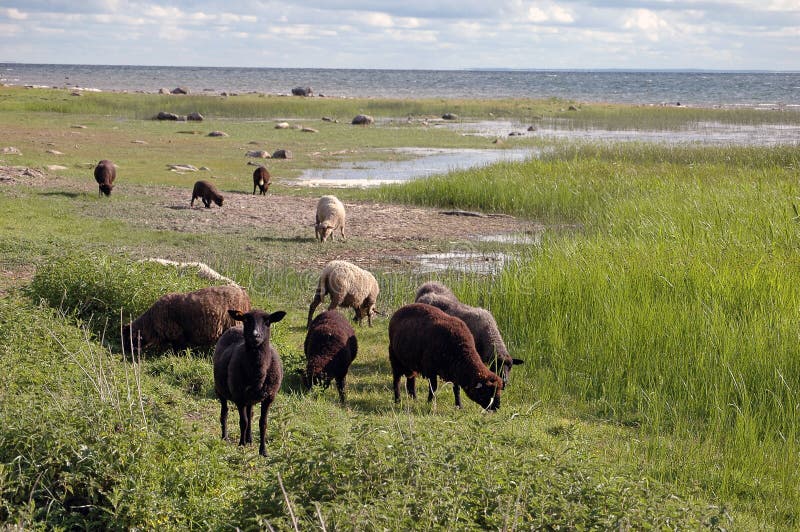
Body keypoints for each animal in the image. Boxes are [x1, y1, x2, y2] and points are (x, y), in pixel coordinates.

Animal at [122, 285, 251, 354]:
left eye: (128, 338)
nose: (126, 351)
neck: (151, 322)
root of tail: (244, 294)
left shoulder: (177, 334)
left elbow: (178, 349)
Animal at [213, 308, 286, 456]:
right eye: (246, 320)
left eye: (267, 321)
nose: (255, 335)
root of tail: (234, 327)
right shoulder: (239, 396)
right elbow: (243, 422)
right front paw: (241, 445)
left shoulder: (269, 397)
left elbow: (263, 423)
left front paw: (263, 451)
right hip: (220, 390)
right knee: (225, 413)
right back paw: (225, 437)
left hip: (251, 398)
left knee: (250, 414)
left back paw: (250, 439)